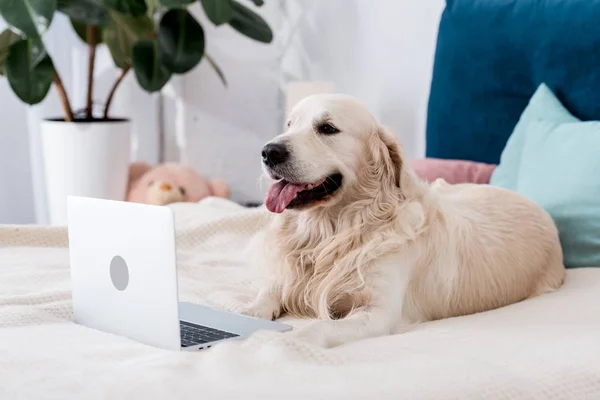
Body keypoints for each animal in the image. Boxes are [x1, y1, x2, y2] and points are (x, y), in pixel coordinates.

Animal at [237, 95, 564, 348]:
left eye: (327, 128)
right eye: (289, 125)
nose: (269, 151)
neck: (336, 231)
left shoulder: (379, 313)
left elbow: (321, 325)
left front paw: (283, 340)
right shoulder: (288, 277)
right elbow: (267, 294)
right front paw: (248, 313)